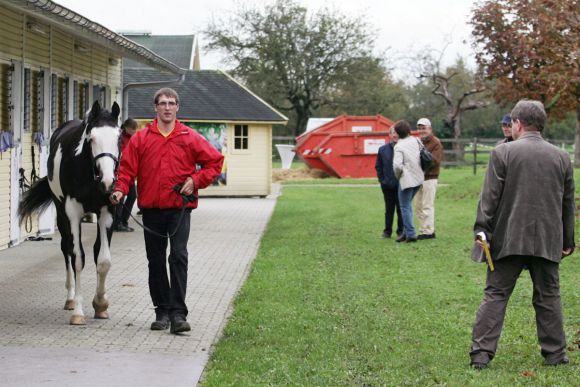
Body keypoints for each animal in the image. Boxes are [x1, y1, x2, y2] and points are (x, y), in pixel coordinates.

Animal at [19, 101, 121, 326]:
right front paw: (79, 312)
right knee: (66, 248)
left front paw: (101, 304)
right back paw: (70, 299)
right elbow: (77, 258)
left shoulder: (107, 212)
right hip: (61, 213)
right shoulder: (73, 213)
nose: (108, 181)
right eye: (91, 138)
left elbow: (104, 260)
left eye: (118, 137)